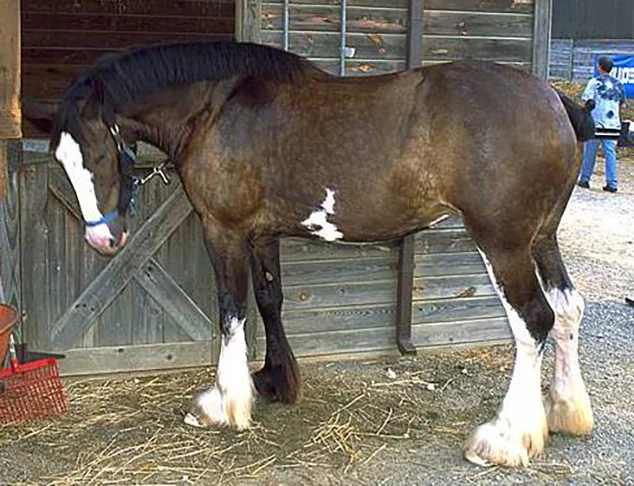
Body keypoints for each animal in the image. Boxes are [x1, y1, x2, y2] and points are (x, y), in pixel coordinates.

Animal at [24, 41, 596, 468]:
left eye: (100, 154)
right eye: (61, 161)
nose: (103, 241)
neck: (217, 108)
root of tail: (554, 99)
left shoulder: (223, 231)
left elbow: (231, 312)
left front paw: (223, 403)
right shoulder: (261, 234)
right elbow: (268, 301)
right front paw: (274, 381)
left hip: (503, 244)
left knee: (534, 321)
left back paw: (506, 438)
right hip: (541, 238)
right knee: (567, 309)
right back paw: (566, 410)